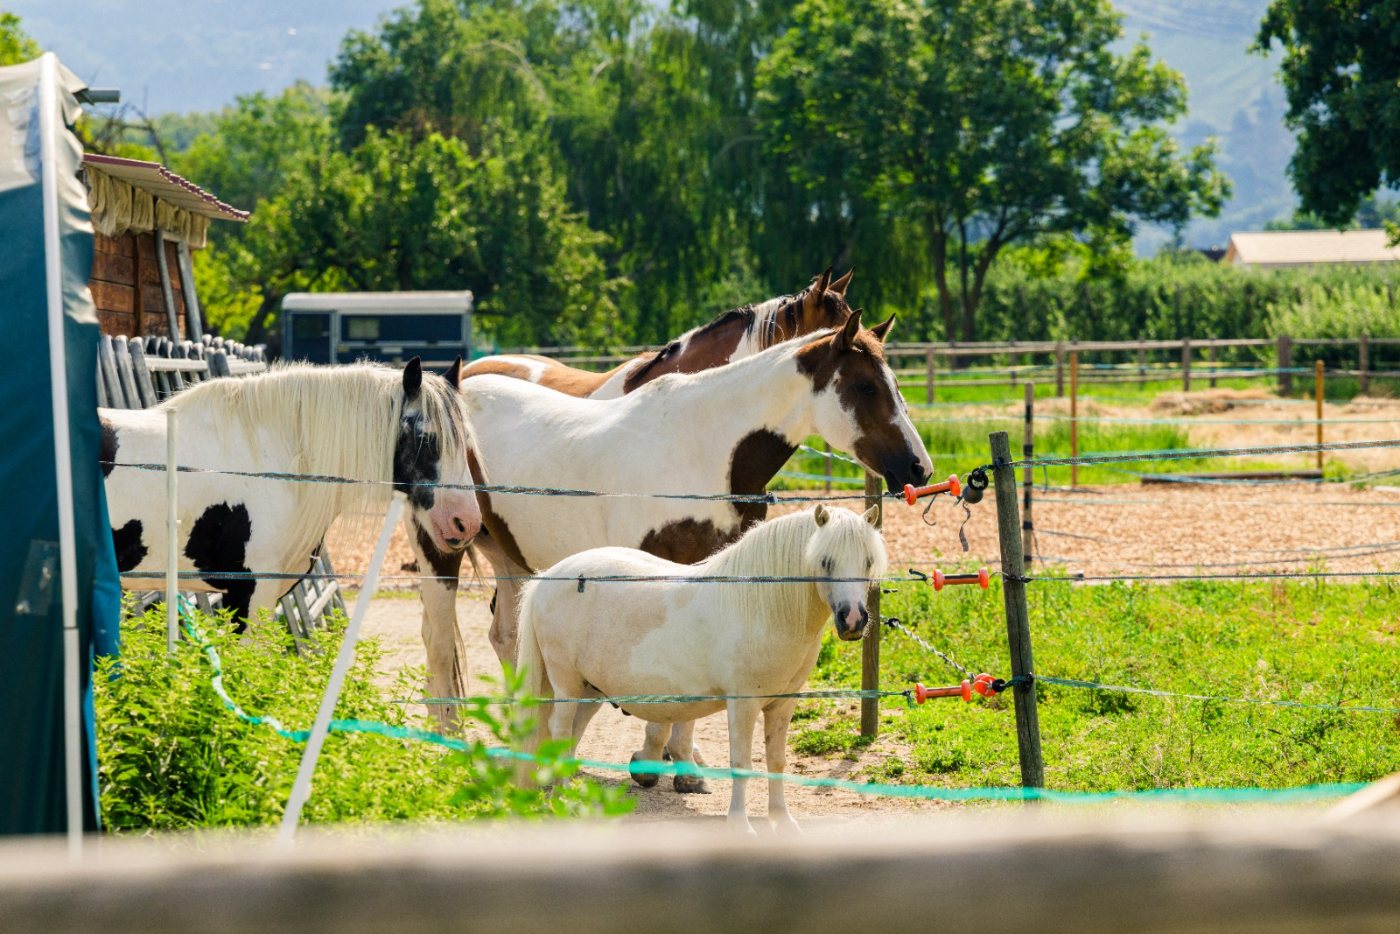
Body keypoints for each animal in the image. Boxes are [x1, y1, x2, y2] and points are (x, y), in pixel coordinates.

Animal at [517, 504, 887, 834]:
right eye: (825, 561)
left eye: (868, 561)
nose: (853, 620)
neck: (762, 608)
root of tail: (547, 577)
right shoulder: (742, 704)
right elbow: (742, 764)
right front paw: (740, 826)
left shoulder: (782, 704)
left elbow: (776, 762)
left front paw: (783, 822)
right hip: (567, 685)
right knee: (559, 730)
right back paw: (563, 799)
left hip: (590, 690)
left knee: (570, 735)